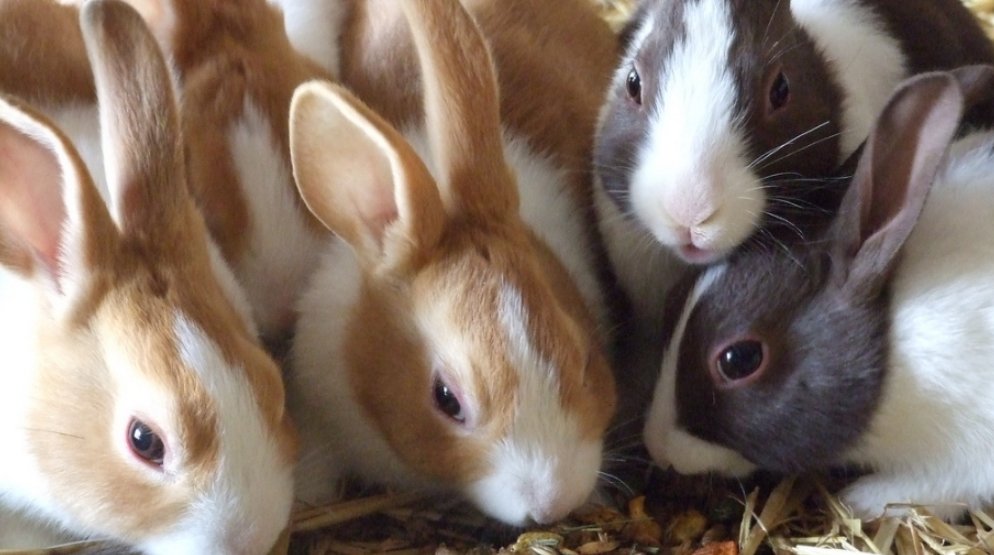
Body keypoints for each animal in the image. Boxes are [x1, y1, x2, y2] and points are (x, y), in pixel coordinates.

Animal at [642, 64, 994, 521]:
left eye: (739, 360)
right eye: (672, 299)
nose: (656, 446)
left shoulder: (969, 451)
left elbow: (934, 486)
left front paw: (861, 499)